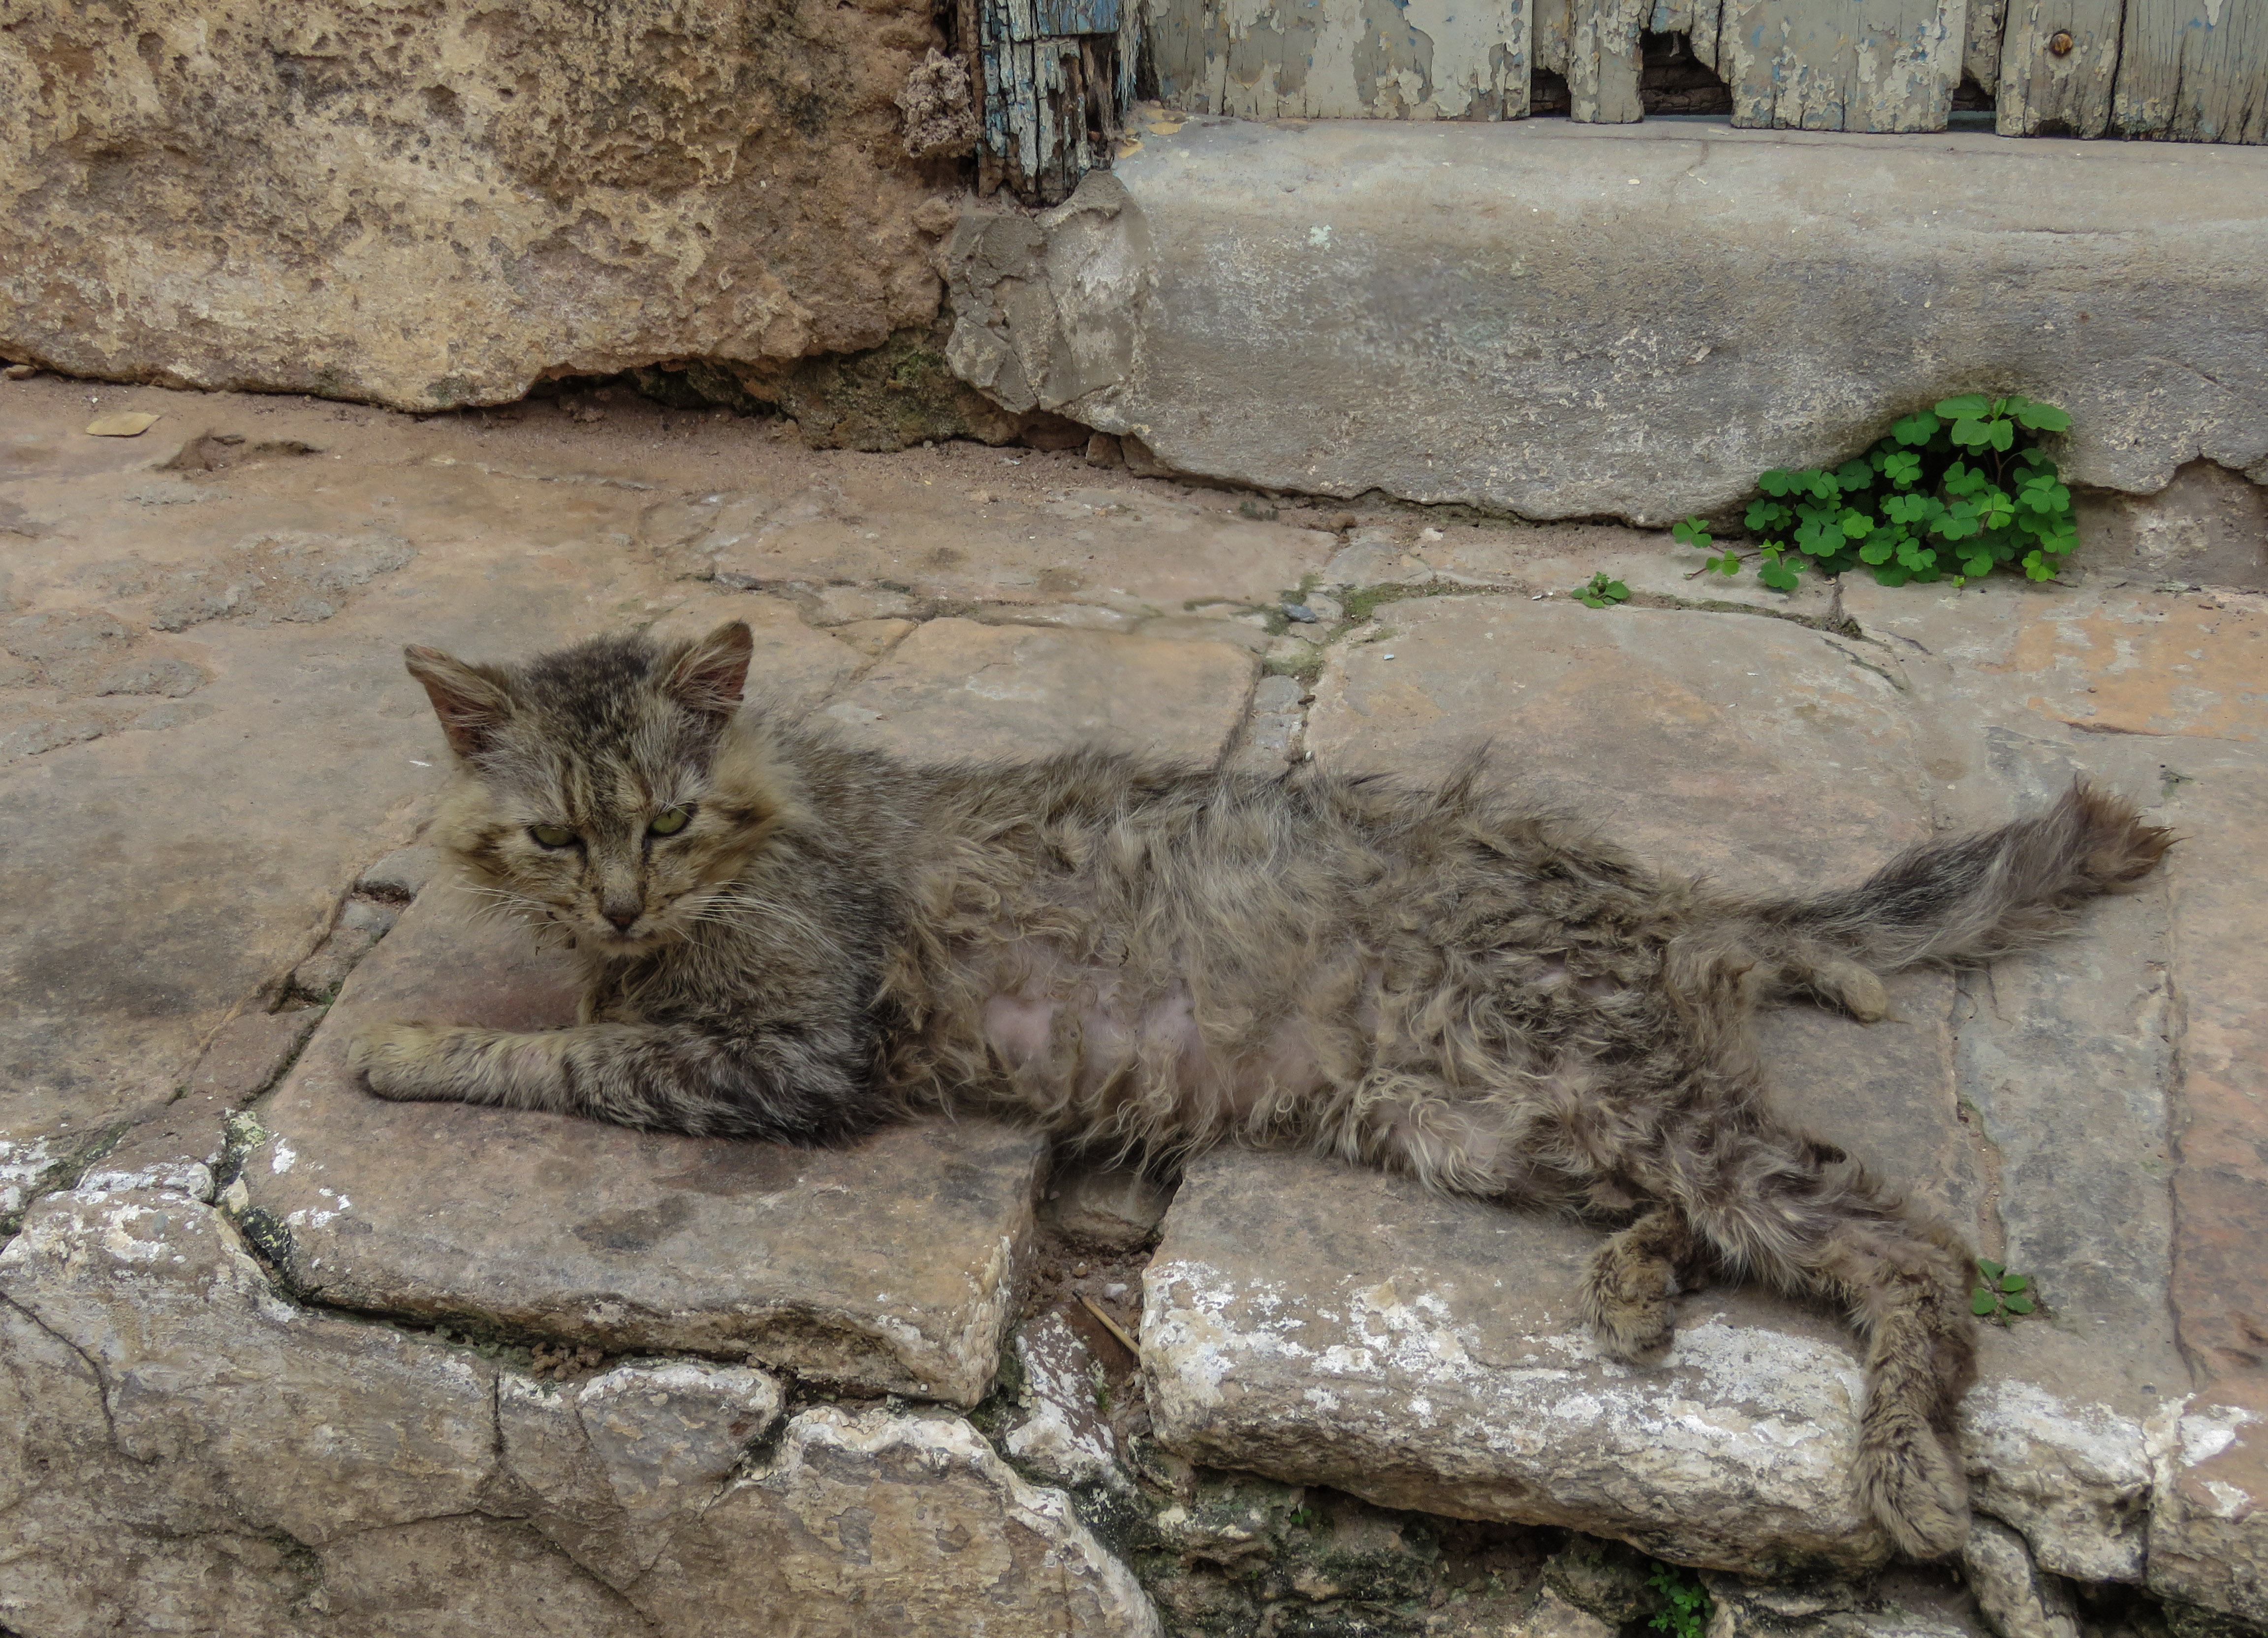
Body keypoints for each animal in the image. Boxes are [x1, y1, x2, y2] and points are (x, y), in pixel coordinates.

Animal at [351, 619, 2173, 1561]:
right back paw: (1637, 1282)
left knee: (1901, 1237)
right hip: (1489, 1118)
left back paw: (1909, 1466)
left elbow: (566, 1050)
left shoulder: (793, 1054)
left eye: (663, 822)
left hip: (1591, 1087)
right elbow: (584, 1010)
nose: (617, 902)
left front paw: (408, 1039)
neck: (767, 822)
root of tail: (1662, 898)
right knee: (1710, 1203)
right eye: (554, 834)